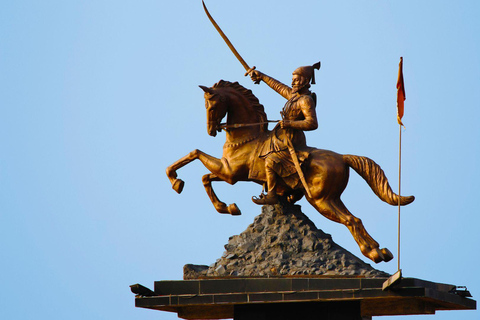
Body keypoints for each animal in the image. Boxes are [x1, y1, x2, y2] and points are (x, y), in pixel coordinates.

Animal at [167, 80, 414, 262]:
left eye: (211, 105)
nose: (211, 130)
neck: (246, 135)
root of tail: (342, 158)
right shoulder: (227, 172)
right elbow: (204, 175)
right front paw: (227, 206)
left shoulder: (230, 174)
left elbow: (196, 156)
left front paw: (178, 182)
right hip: (332, 197)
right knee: (357, 220)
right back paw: (379, 251)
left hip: (320, 200)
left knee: (351, 221)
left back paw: (373, 253)